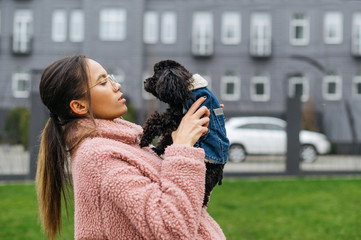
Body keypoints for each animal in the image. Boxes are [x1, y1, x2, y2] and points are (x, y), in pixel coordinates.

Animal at [139, 60, 226, 206]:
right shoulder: (176, 121)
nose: (144, 81)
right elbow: (168, 137)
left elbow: (156, 120)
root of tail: (221, 169)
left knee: (204, 195)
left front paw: (145, 138)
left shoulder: (177, 117)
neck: (184, 88)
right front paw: (158, 149)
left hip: (207, 175)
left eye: (157, 74)